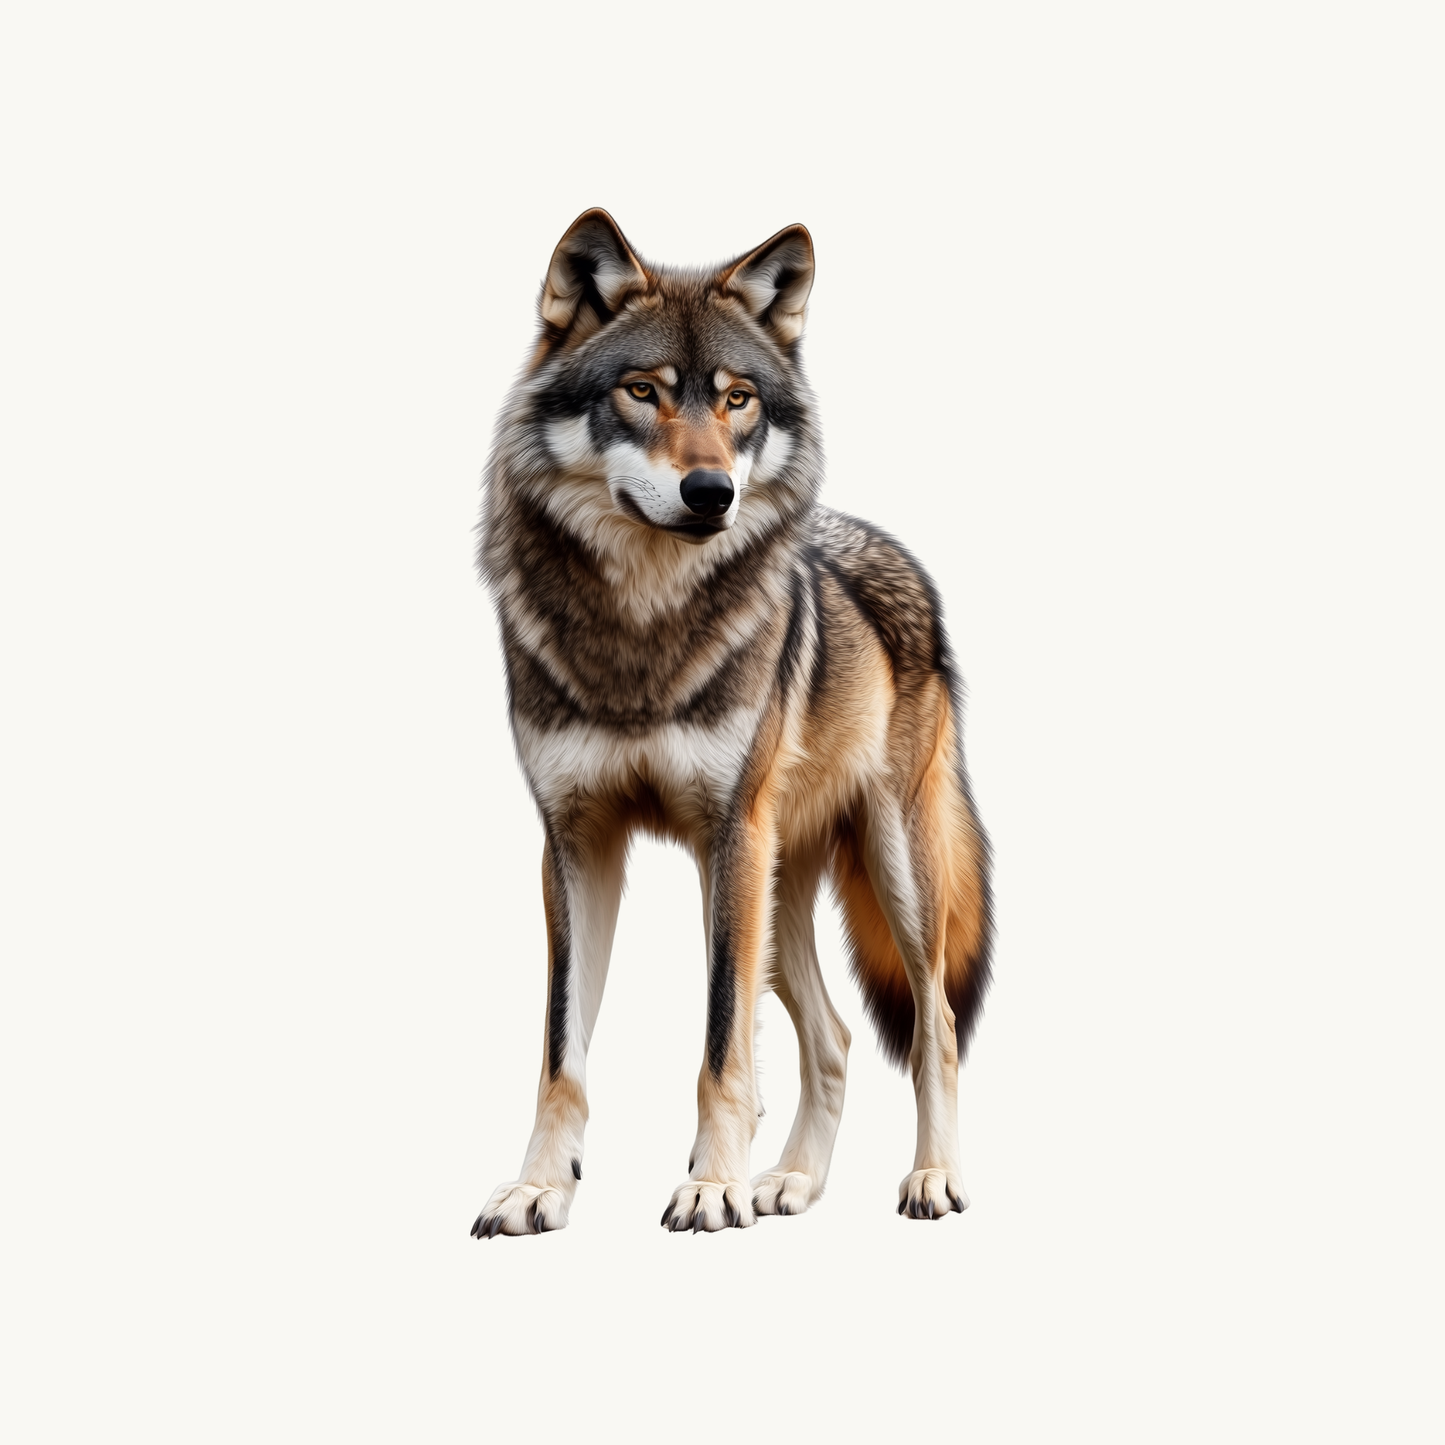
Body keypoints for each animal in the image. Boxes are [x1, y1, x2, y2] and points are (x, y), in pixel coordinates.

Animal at [472, 210, 992, 1235]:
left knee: (937, 1022)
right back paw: (787, 1181)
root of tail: (892, 550)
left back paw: (929, 1176)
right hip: (773, 891)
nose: (712, 492)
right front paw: (541, 1188)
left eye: (738, 400)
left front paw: (710, 1187)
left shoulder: (727, 833)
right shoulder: (574, 843)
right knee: (832, 1035)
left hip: (880, 872)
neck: (641, 635)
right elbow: (560, 1053)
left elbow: (721, 1047)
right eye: (642, 391)